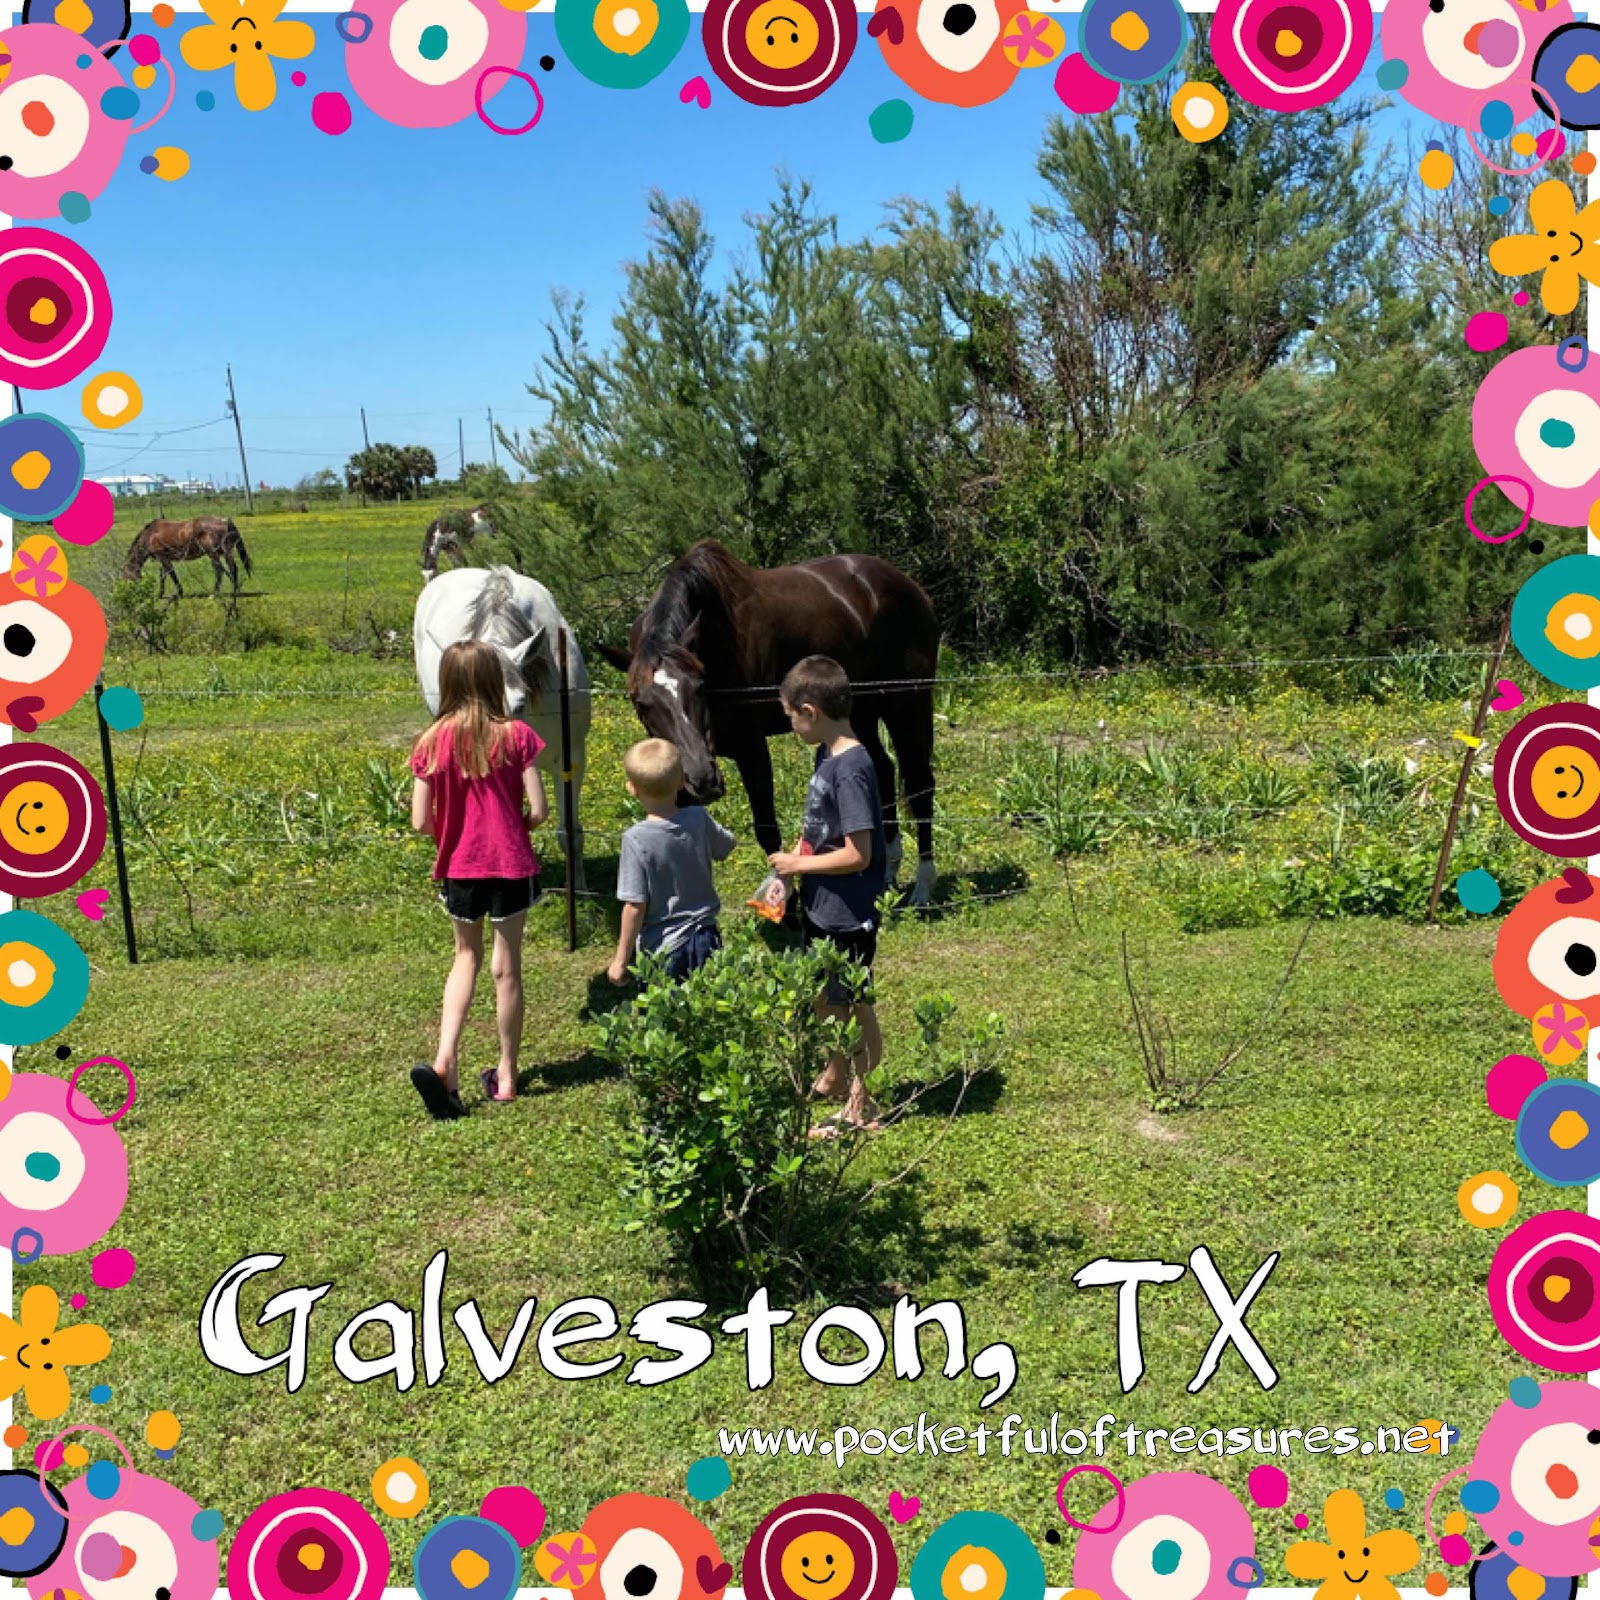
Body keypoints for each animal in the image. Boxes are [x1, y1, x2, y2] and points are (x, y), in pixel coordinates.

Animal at [123, 516, 253, 599]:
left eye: (129, 580)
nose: (133, 595)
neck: (150, 534)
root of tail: (225, 521)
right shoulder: (164, 559)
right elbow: (163, 576)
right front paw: (160, 594)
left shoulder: (163, 558)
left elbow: (171, 575)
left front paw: (179, 592)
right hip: (222, 553)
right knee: (226, 569)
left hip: (214, 553)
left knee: (225, 570)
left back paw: (221, 593)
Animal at [597, 540, 940, 907]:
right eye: (641, 703)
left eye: (701, 686)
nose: (705, 779)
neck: (715, 640)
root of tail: (911, 587)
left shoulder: (752, 749)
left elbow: (767, 830)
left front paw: (788, 903)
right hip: (858, 712)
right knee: (884, 772)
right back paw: (887, 875)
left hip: (906, 705)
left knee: (919, 784)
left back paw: (922, 888)